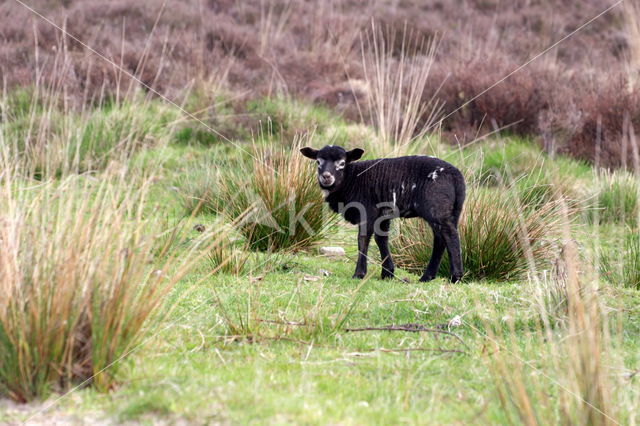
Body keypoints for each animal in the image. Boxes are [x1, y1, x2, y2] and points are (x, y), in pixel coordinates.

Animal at [300, 145, 464, 282]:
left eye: (342, 163)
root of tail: (456, 175)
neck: (352, 179)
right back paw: (427, 277)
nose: (326, 176)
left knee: (449, 235)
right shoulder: (383, 214)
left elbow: (363, 239)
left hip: (435, 206)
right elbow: (381, 239)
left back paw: (455, 276)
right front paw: (388, 273)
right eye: (318, 162)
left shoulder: (367, 210)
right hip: (452, 210)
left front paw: (359, 274)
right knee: (440, 238)